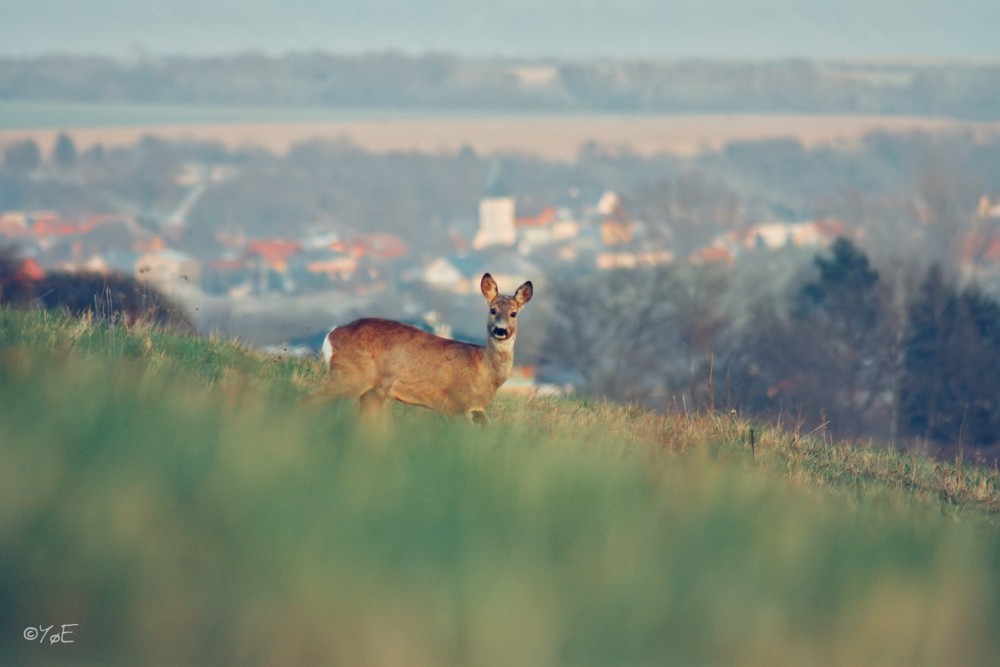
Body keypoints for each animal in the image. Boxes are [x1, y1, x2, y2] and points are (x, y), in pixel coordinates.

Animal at [320, 272, 532, 422]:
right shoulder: (456, 404)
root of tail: (333, 333)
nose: (500, 330)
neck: (485, 370)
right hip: (349, 375)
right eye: (492, 310)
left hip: (370, 391)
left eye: (513, 313)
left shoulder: (475, 410)